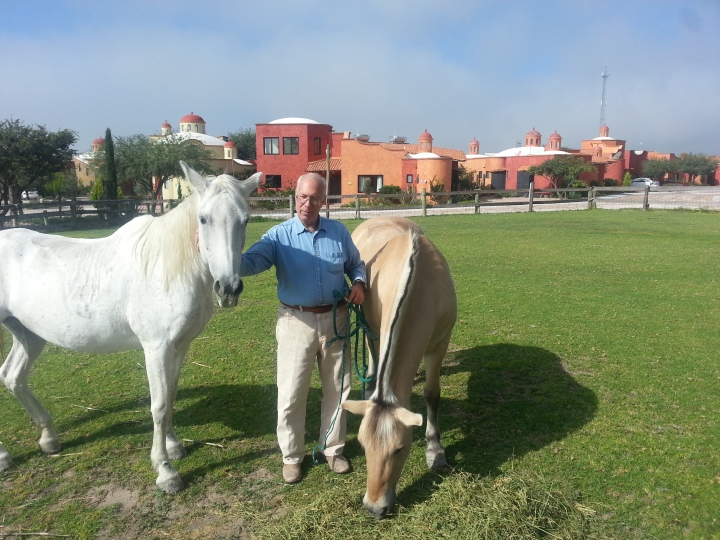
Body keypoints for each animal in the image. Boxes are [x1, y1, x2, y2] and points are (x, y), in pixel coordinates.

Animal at [0, 162, 258, 492]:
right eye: (203, 218)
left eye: (245, 219)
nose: (228, 289)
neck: (166, 267)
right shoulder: (156, 348)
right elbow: (159, 405)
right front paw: (166, 471)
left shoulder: (179, 346)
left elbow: (170, 396)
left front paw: (174, 447)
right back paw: (4, 456)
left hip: (28, 334)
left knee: (13, 376)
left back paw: (48, 439)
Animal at [344, 217, 456, 520]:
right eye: (363, 446)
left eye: (399, 449)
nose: (374, 507)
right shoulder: (377, 330)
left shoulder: (440, 344)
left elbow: (431, 394)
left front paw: (435, 449)